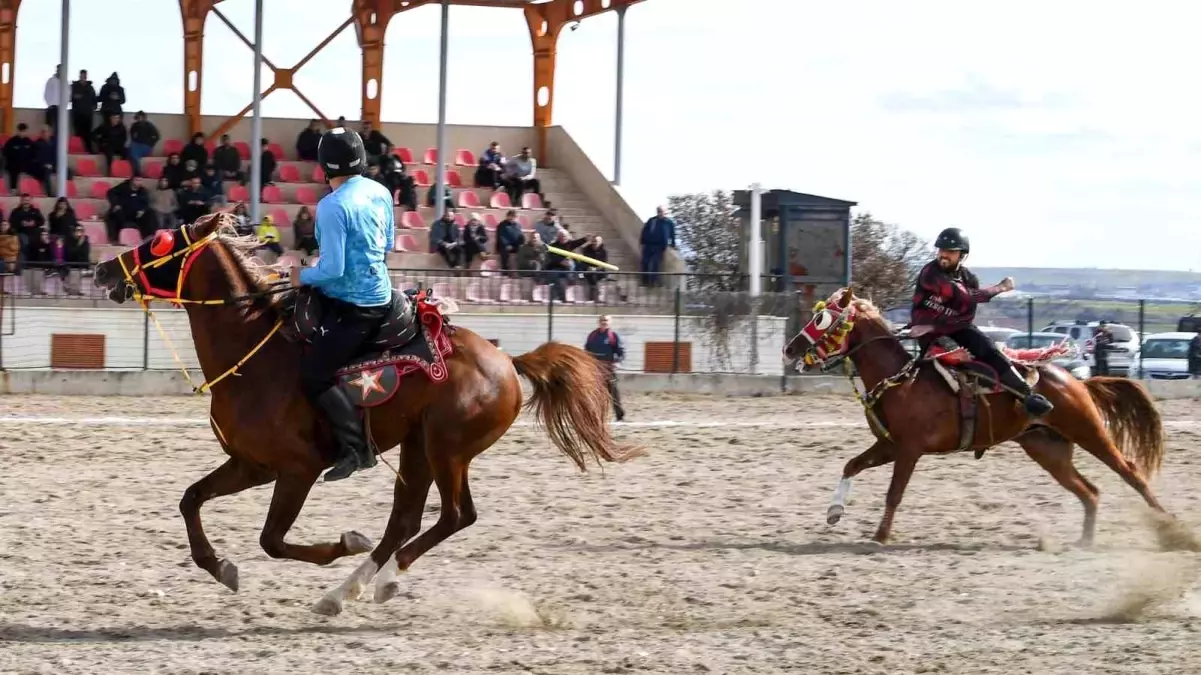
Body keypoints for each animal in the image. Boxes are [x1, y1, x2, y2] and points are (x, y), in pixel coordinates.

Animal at [93, 212, 643, 612]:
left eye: (160, 241)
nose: (102, 269)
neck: (253, 354)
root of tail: (507, 360)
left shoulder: (297, 469)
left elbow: (272, 539)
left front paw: (345, 542)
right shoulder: (251, 464)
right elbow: (190, 500)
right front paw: (220, 566)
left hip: (446, 450)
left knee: (454, 516)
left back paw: (379, 581)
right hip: (419, 448)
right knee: (406, 521)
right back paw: (348, 590)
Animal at [778, 285, 1172, 542]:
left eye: (823, 319)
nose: (789, 349)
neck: (901, 380)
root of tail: (1076, 380)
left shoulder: (909, 451)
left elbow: (894, 493)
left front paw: (880, 536)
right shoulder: (889, 445)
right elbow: (851, 465)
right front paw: (835, 511)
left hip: (1087, 430)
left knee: (1130, 472)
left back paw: (1170, 526)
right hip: (1047, 448)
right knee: (1089, 492)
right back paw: (1085, 542)